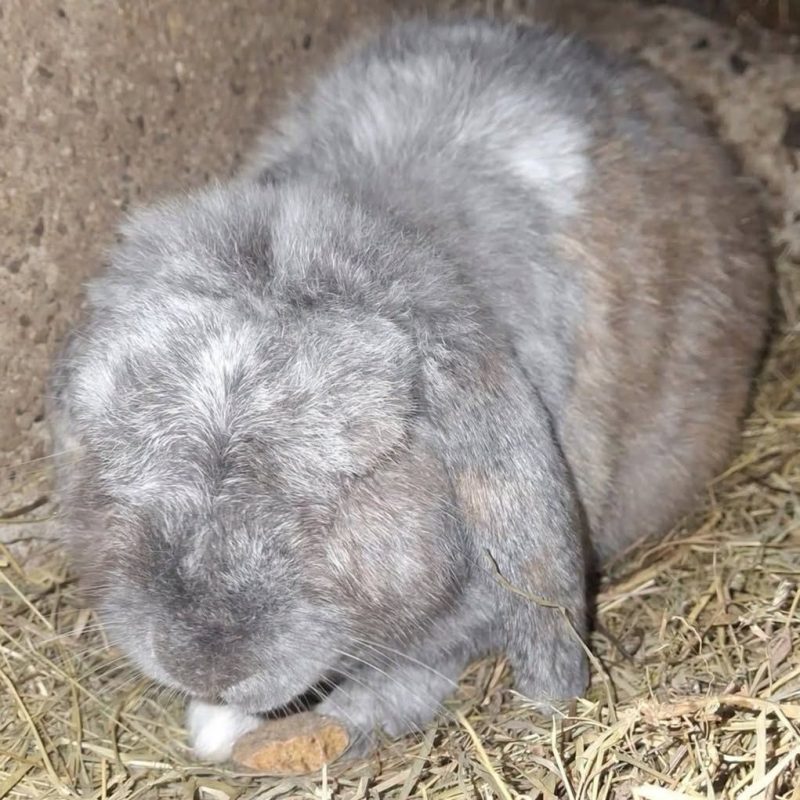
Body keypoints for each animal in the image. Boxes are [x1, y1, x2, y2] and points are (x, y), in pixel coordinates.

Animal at [48, 17, 772, 763]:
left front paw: (276, 732)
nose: (204, 662)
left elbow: (413, 675)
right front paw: (217, 719)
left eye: (357, 479)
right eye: (116, 466)